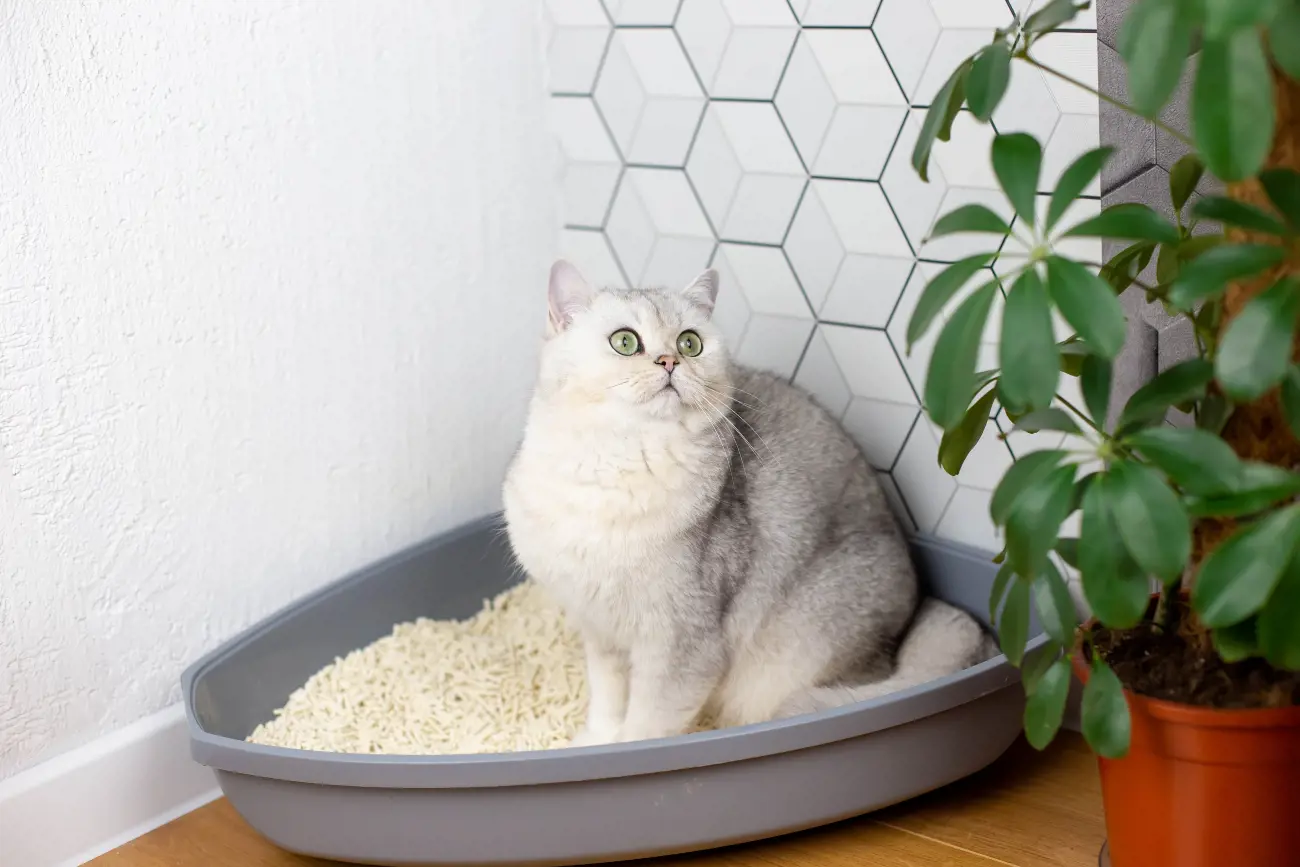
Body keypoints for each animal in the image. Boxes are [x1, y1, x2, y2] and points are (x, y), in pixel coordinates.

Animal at [501, 259, 987, 748]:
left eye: (689, 342)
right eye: (625, 342)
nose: (670, 361)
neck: (616, 464)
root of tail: (916, 611)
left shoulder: (683, 643)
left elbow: (646, 725)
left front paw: (624, 752)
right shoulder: (600, 631)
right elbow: (607, 699)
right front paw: (597, 740)